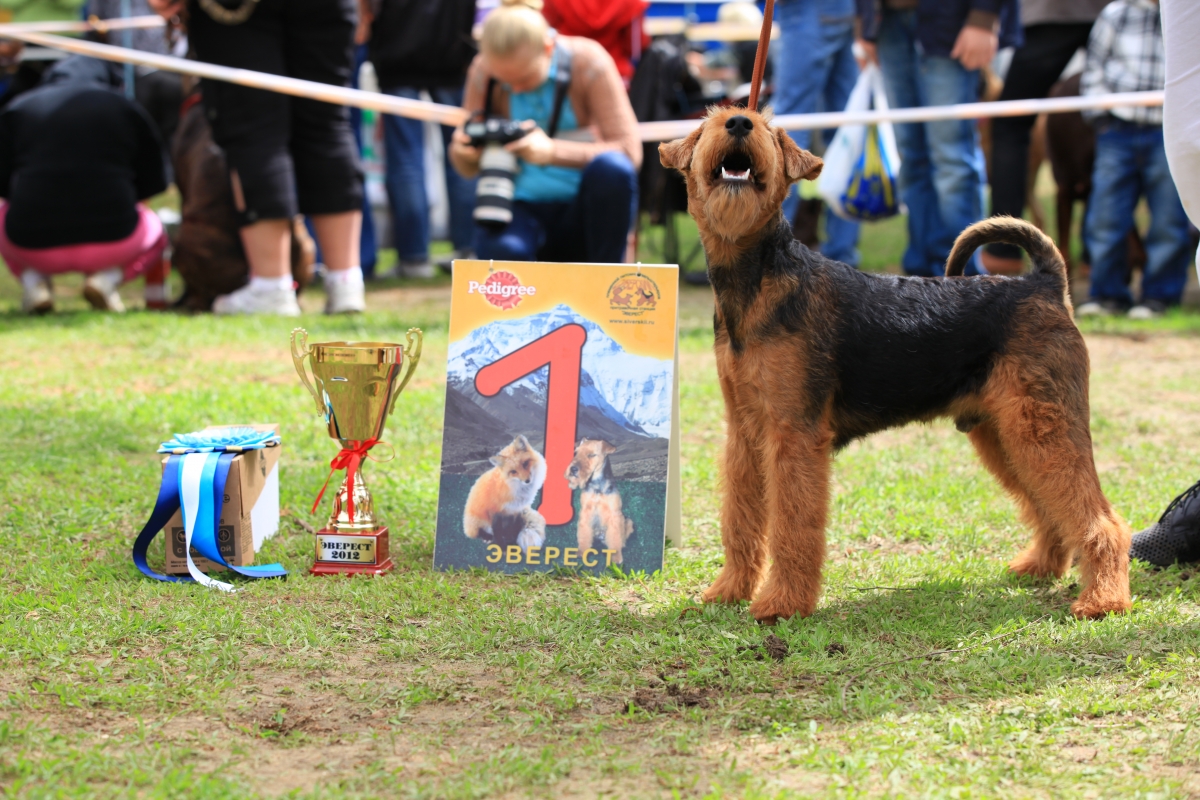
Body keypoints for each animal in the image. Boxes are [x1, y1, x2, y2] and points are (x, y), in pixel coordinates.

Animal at [657, 106, 1132, 623]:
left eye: (767, 129)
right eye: (709, 121)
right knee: (1050, 505)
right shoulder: (745, 432)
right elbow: (740, 519)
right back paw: (1040, 567)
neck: (757, 281)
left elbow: (792, 525)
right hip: (1006, 431)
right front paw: (729, 591)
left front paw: (782, 603)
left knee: (1101, 517)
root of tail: (1044, 283)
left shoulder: (794, 434)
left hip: (1042, 427)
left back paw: (1103, 600)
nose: (740, 123)